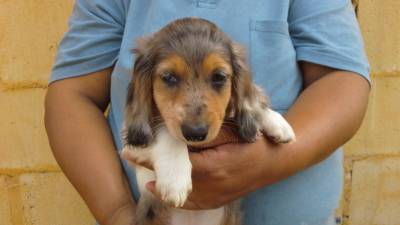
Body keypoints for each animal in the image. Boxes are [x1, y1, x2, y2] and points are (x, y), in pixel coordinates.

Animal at [120, 17, 296, 225]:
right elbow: (166, 131)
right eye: (169, 77)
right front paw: (175, 178)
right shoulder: (131, 143)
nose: (195, 133)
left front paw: (276, 122)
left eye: (219, 76)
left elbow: (252, 102)